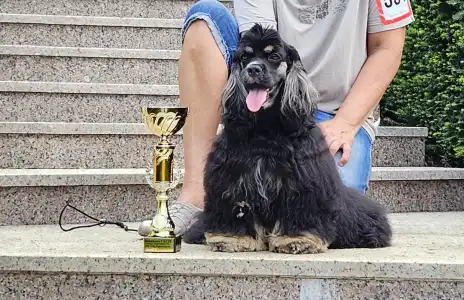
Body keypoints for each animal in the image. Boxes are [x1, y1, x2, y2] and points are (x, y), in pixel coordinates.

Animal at [181, 24, 392, 253]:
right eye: (245, 57)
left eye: (274, 56)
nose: (253, 69)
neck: (265, 129)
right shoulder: (233, 176)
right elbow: (236, 207)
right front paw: (232, 238)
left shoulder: (304, 181)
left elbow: (300, 211)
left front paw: (296, 239)